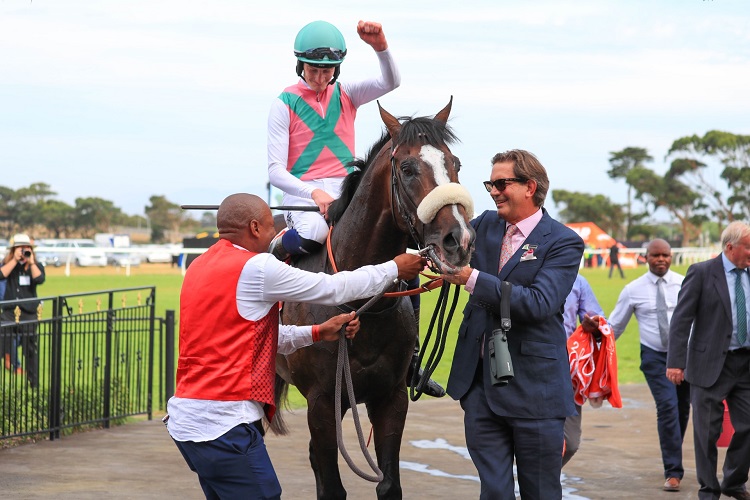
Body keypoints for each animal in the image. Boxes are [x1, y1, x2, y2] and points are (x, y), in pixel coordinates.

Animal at [272, 98, 475, 499]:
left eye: (455, 164)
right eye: (408, 169)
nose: (458, 240)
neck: (359, 303)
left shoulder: (390, 398)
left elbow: (389, 483)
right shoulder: (322, 402)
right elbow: (332, 487)